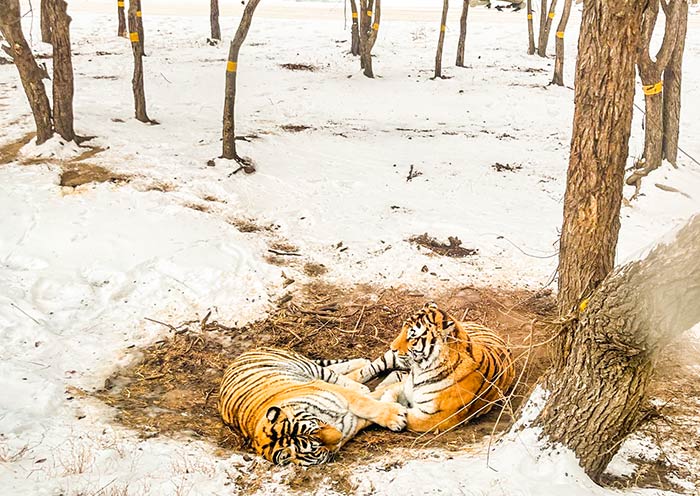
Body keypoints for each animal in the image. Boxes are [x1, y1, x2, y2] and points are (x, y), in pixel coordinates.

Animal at [218, 347, 407, 466]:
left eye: (316, 426)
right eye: (317, 447)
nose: (339, 436)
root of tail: (243, 354)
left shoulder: (332, 391)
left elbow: (366, 402)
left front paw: (394, 412)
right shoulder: (351, 422)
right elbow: (370, 405)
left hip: (310, 369)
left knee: (337, 374)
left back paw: (362, 368)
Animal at [346, 302, 515, 433]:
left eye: (412, 336)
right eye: (402, 329)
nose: (392, 347)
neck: (420, 370)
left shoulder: (434, 418)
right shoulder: (407, 386)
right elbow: (390, 391)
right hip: (388, 359)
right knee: (369, 368)